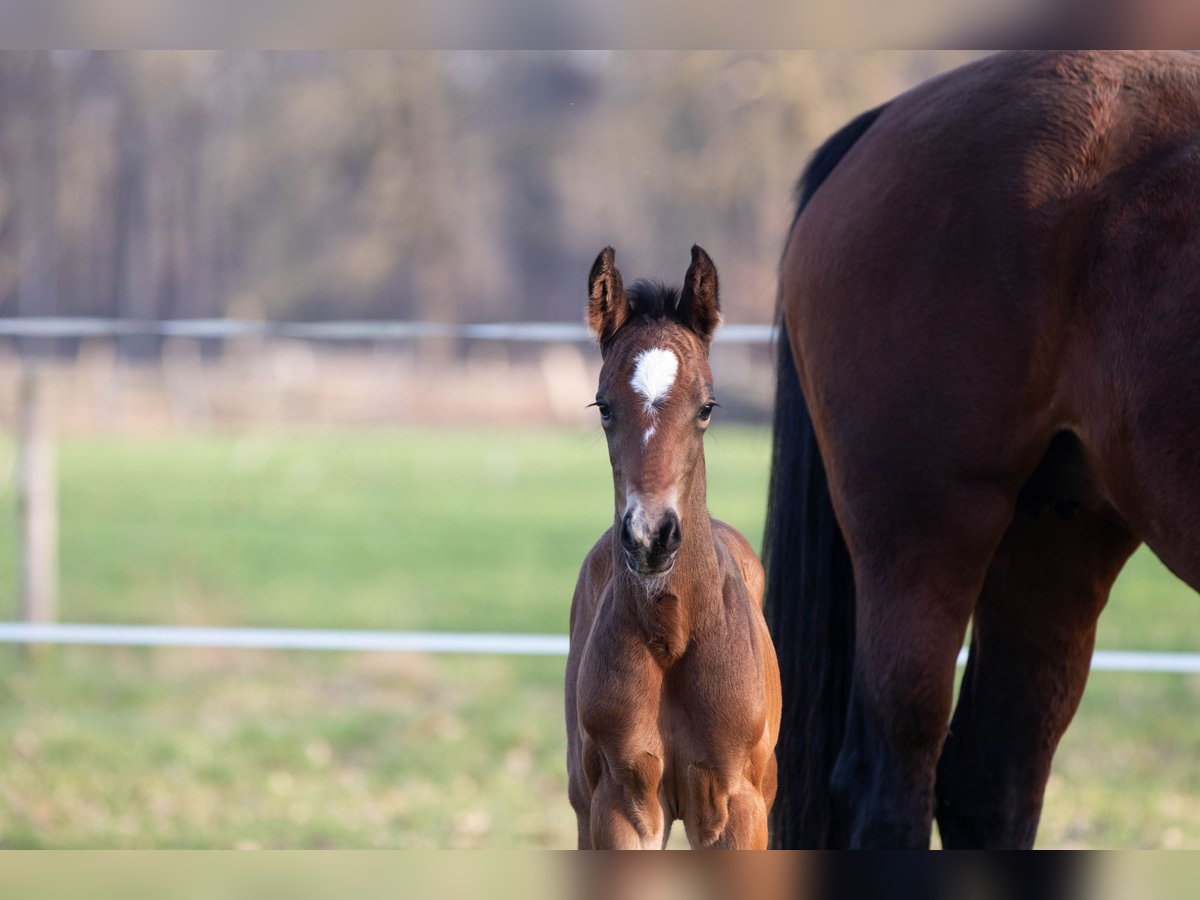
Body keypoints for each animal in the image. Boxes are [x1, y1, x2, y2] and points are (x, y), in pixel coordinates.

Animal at [565, 245, 782, 849]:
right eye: (603, 406)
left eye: (706, 407)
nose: (650, 537)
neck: (675, 632)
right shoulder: (624, 804)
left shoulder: (738, 808)